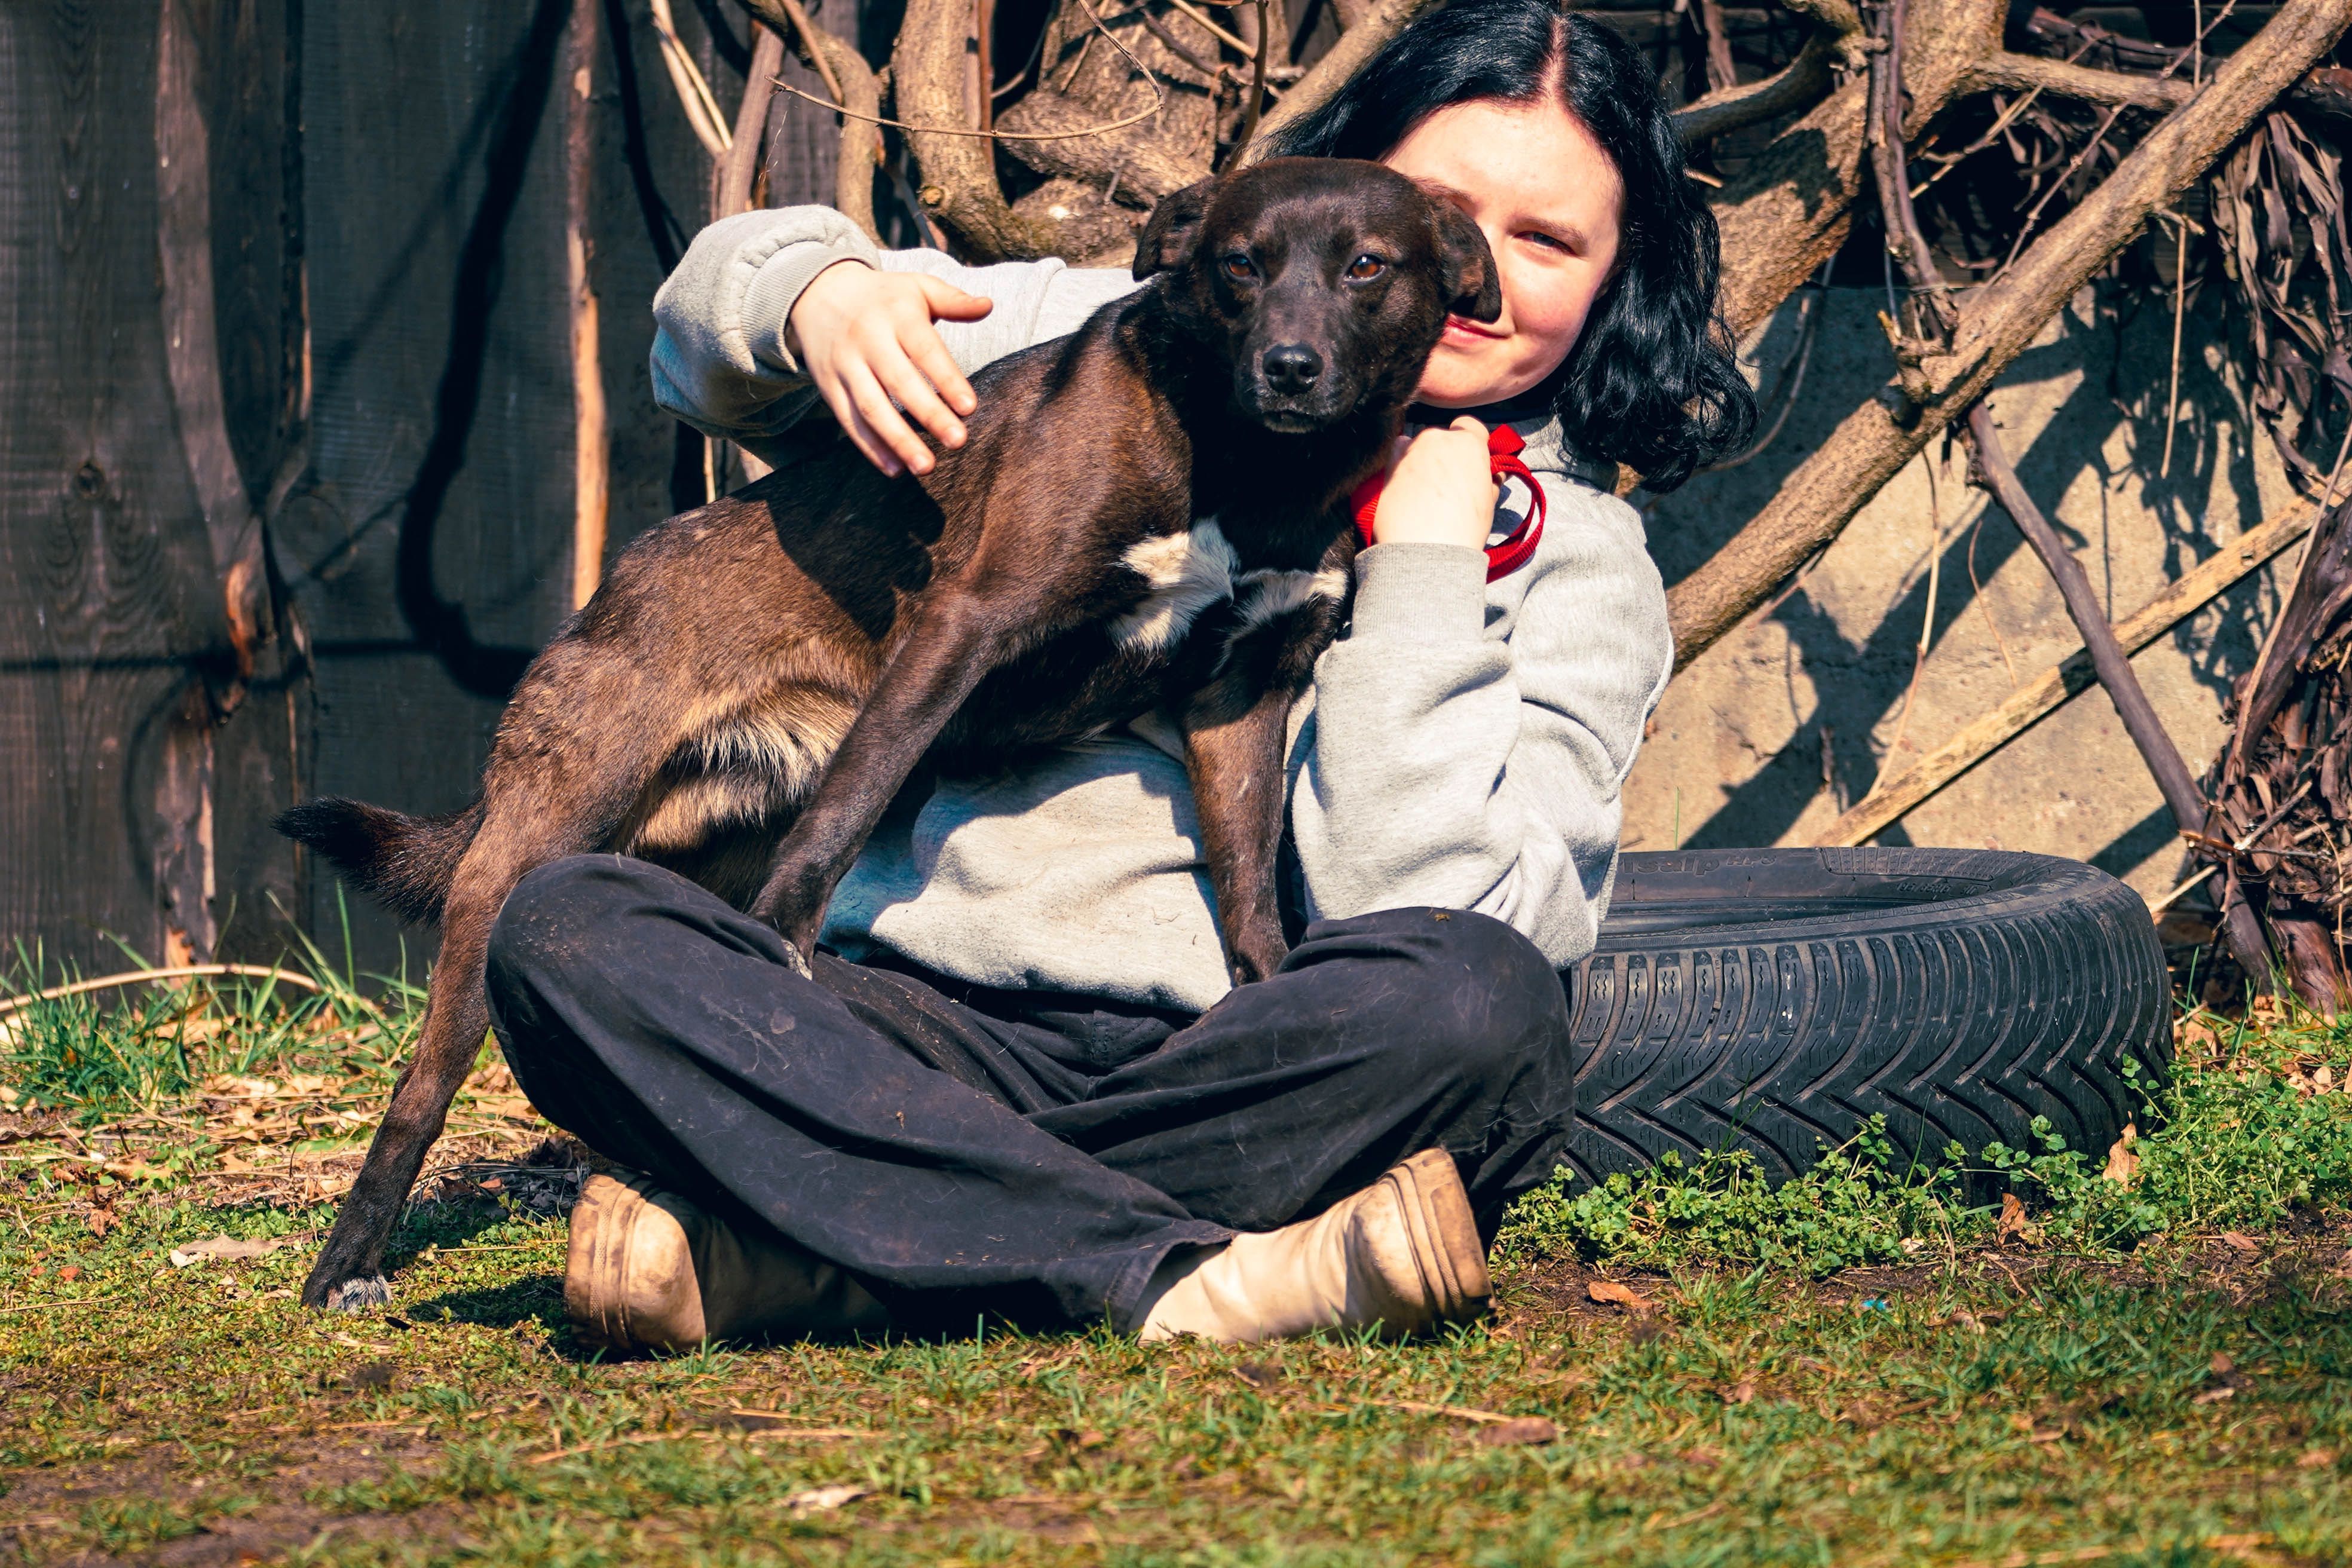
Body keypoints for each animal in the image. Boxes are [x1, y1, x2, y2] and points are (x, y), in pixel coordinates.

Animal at [275, 160, 1486, 1316]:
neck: (1246, 465)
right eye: (1240, 264)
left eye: (1367, 266)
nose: (1289, 366)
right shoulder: (963, 625)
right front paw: (777, 955)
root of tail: (606, 598)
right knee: (419, 1095)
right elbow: (849, 810)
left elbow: (1243, 879)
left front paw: (1275, 986)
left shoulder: (1241, 695)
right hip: (523, 858)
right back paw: (347, 1266)